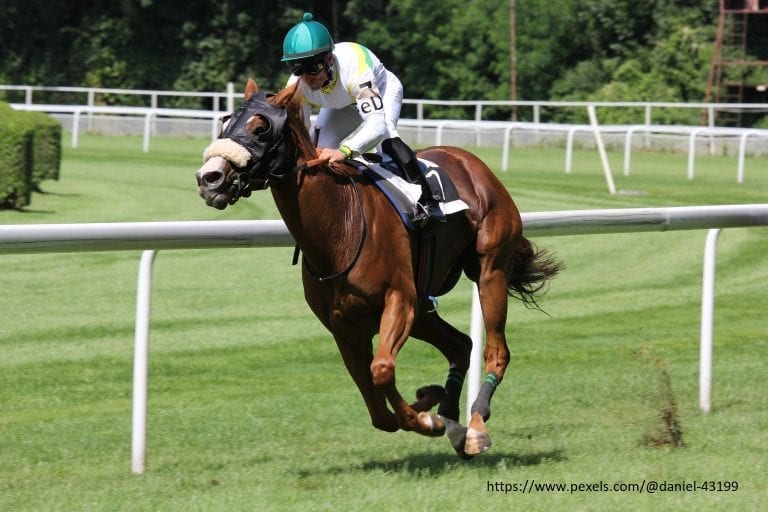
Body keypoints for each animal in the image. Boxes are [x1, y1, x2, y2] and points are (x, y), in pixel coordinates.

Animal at [195, 79, 561, 458]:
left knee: (496, 350)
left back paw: (475, 426)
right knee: (461, 345)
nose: (209, 178)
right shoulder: (344, 328)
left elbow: (382, 371)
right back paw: (452, 420)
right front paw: (430, 404)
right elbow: (378, 411)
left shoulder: (398, 301)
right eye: (225, 123)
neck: (339, 227)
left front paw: (427, 419)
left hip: (489, 271)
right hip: (423, 307)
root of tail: (472, 162)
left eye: (261, 128)